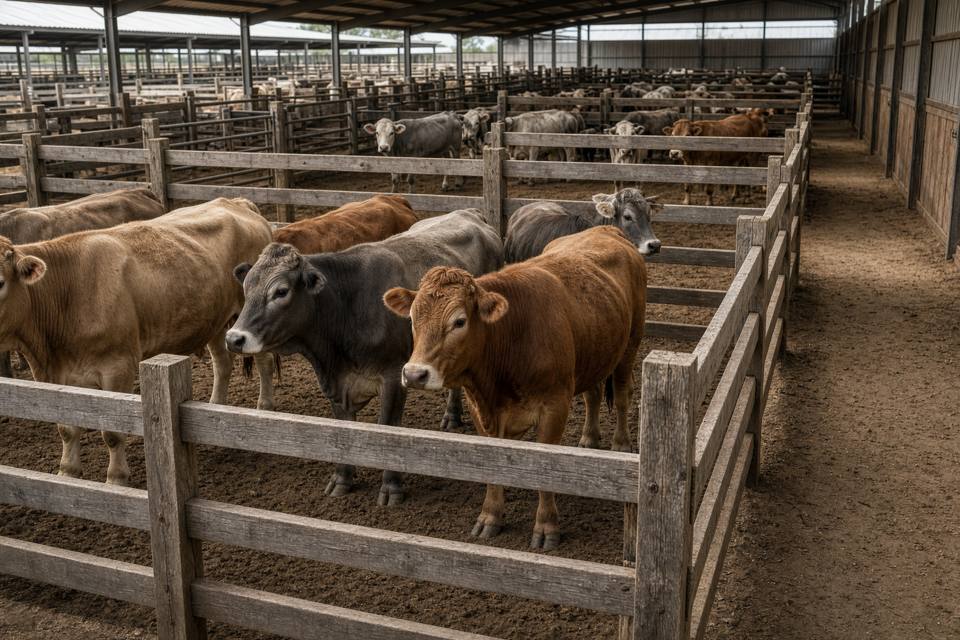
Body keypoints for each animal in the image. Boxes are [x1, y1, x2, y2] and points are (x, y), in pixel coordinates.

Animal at [226, 209, 503, 507]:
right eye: (246, 287)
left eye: (281, 291)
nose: (234, 338)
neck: (348, 308)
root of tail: (469, 213)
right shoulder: (336, 384)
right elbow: (345, 430)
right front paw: (342, 480)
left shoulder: (394, 376)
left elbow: (387, 429)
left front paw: (391, 488)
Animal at [385, 226, 647, 550]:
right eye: (412, 318)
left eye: (459, 321)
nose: (414, 374)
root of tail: (606, 229)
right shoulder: (482, 411)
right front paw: (490, 517)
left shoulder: (554, 407)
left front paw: (546, 527)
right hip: (596, 352)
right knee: (593, 395)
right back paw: (588, 438)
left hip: (630, 345)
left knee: (622, 396)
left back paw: (620, 444)